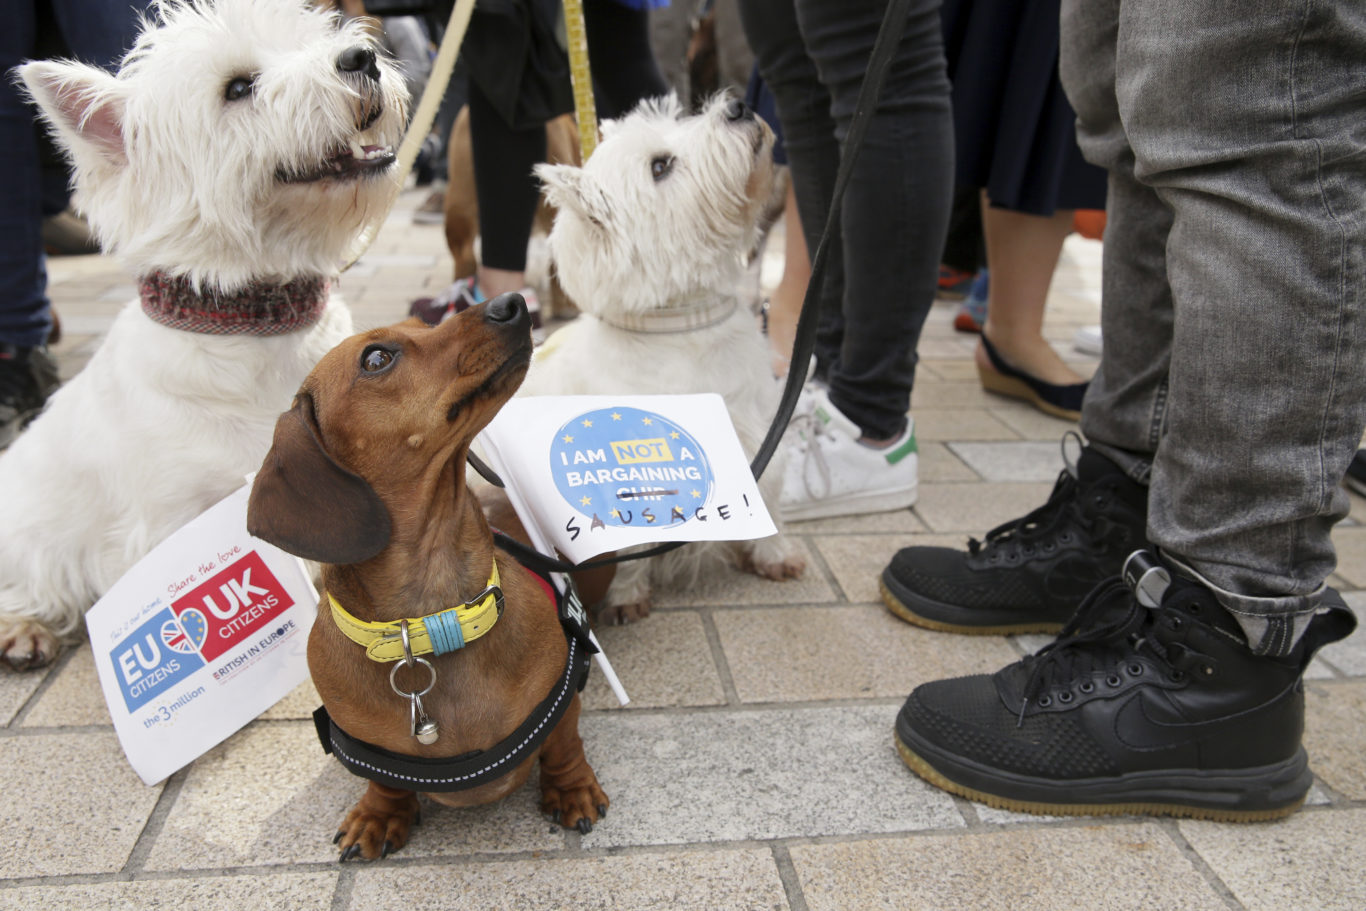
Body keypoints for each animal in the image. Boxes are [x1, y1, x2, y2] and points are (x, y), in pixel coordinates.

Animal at [519, 96, 797, 622]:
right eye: (660, 166)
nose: (738, 106)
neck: (686, 326)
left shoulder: (757, 427)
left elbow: (770, 491)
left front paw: (773, 556)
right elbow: (630, 541)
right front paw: (628, 595)